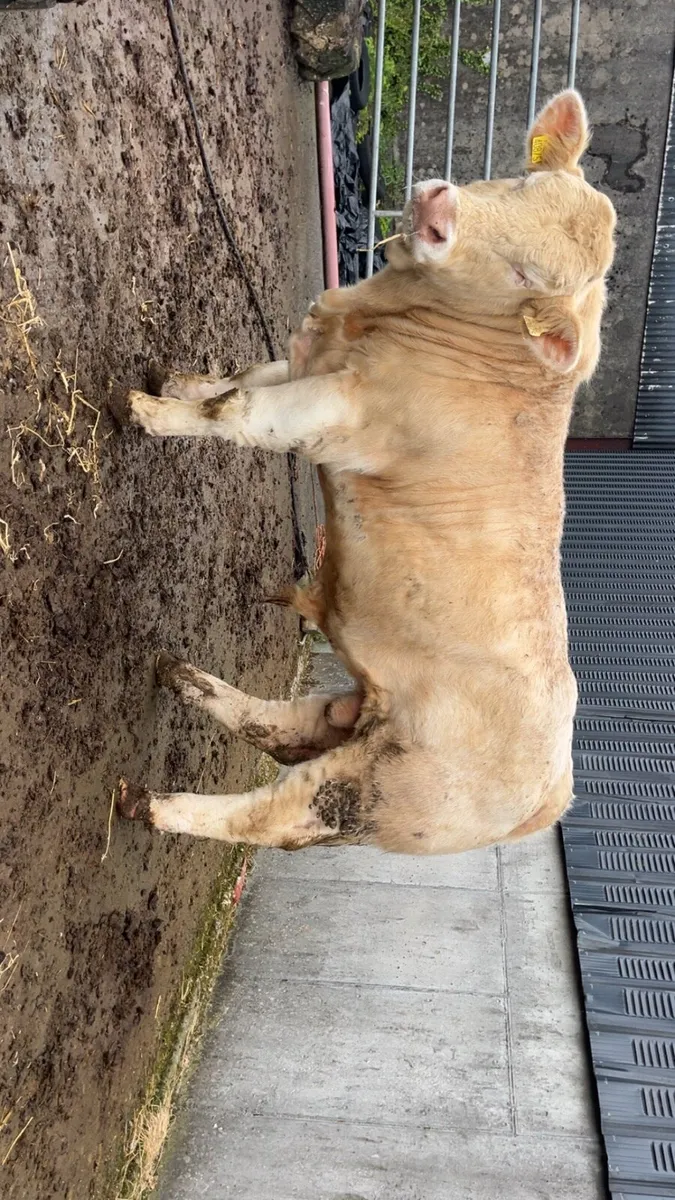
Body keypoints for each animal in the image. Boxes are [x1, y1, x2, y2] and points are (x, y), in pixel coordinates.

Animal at [112, 90, 615, 856]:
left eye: (529, 277)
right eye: (521, 181)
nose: (438, 207)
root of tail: (550, 798)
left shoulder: (335, 412)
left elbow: (238, 410)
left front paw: (145, 412)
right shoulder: (306, 363)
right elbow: (234, 378)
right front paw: (172, 381)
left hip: (382, 791)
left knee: (274, 815)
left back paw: (153, 804)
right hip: (356, 715)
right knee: (283, 726)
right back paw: (182, 677)